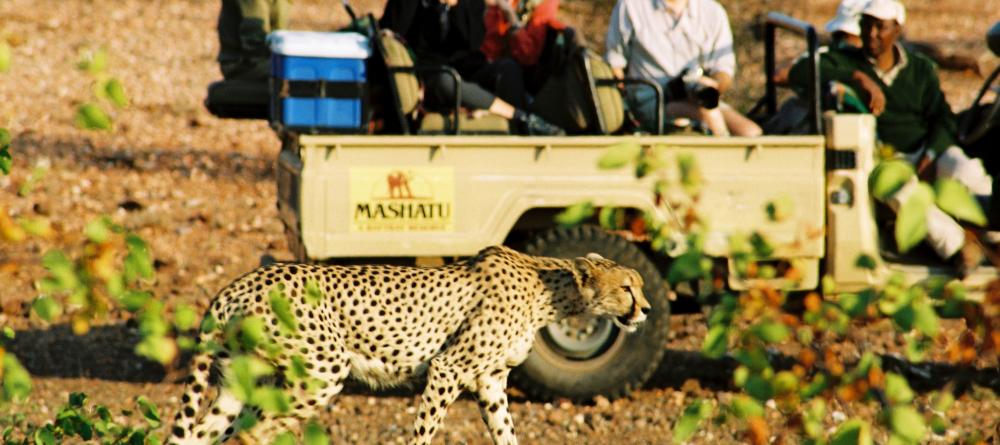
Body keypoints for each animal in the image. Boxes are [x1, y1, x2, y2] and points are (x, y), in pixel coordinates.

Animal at [167, 245, 650, 445]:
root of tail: (239, 283)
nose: (645, 310)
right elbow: (424, 433)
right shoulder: (449, 368)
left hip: (239, 383)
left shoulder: (491, 382)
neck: (546, 290)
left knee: (200, 435)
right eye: (627, 287)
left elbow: (506, 434)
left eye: (641, 287)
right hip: (323, 371)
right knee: (257, 432)